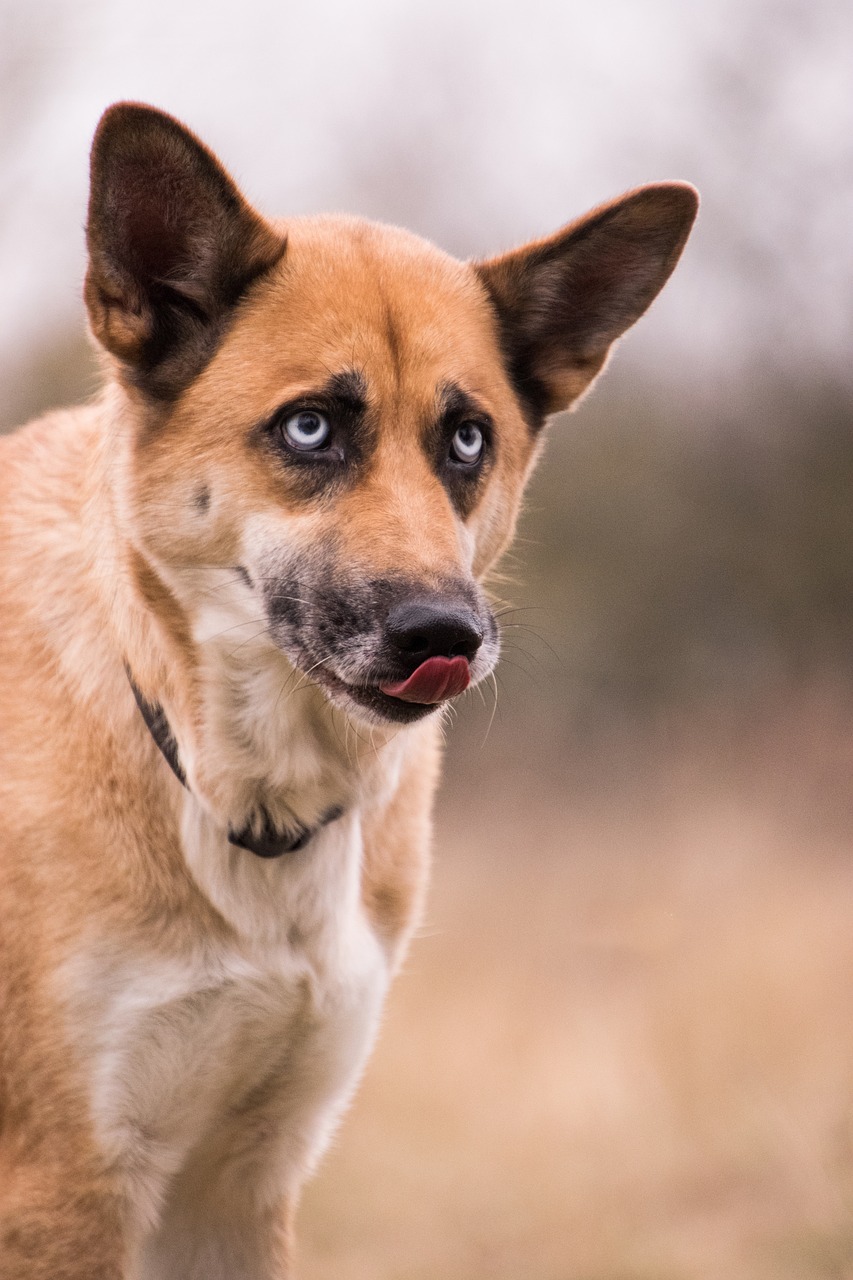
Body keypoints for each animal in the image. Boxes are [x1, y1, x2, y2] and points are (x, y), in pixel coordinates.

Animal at [0, 104, 691, 1274]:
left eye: (467, 438)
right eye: (310, 427)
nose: (445, 634)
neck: (240, 797)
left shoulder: (239, 1183)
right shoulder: (63, 1192)